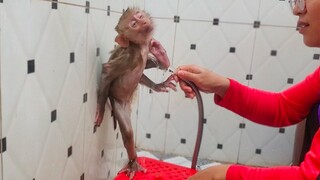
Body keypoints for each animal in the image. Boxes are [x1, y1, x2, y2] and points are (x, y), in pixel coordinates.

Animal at [95, 7, 176, 179]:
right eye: (133, 24)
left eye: (139, 16)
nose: (143, 21)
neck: (141, 48)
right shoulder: (130, 57)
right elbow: (107, 71)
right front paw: (100, 110)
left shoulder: (144, 53)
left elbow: (149, 66)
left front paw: (161, 55)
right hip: (118, 103)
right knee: (128, 133)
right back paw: (133, 161)